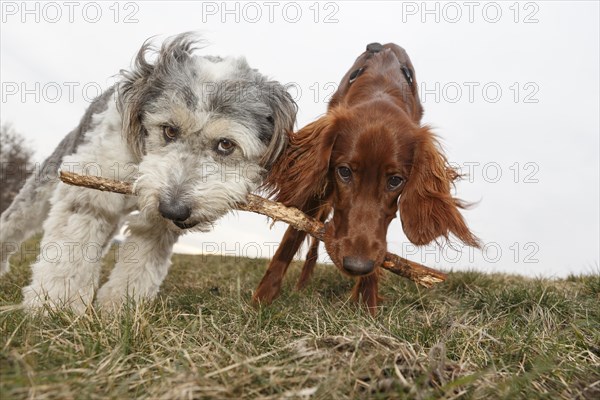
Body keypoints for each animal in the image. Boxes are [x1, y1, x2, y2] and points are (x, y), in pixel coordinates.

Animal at [252, 42, 478, 314]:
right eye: (344, 172)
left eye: (395, 180)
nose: (356, 266)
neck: (381, 87)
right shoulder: (317, 183)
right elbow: (292, 237)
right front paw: (261, 300)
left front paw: (368, 306)